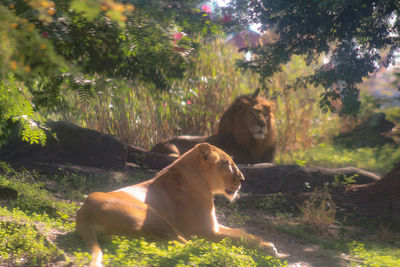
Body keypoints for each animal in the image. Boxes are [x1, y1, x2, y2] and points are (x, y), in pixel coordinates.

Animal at [76, 143, 276, 266]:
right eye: (228, 164)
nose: (243, 179)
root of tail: (84, 213)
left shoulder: (214, 225)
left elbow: (243, 233)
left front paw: (264, 242)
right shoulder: (204, 230)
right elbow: (235, 239)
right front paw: (267, 248)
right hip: (152, 215)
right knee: (191, 245)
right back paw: (234, 256)